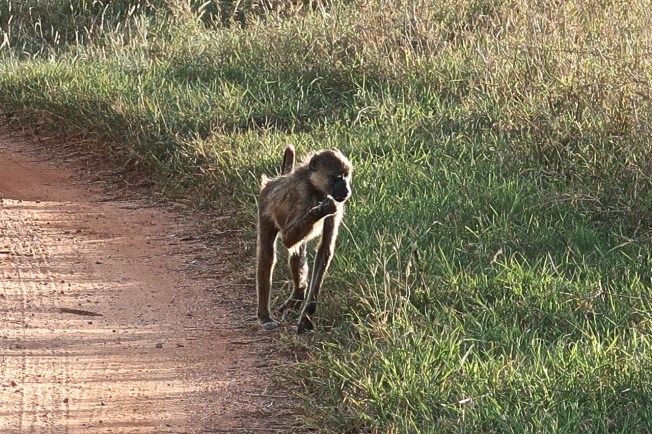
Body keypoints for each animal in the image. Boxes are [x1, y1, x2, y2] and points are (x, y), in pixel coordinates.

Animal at [256, 145, 352, 333]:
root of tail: (274, 181)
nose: (346, 190)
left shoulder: (337, 205)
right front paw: (320, 210)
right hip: (265, 207)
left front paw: (307, 315)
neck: (314, 186)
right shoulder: (303, 195)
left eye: (346, 175)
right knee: (268, 255)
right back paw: (264, 317)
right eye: (337, 177)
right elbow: (287, 239)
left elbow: (324, 250)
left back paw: (297, 296)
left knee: (297, 254)